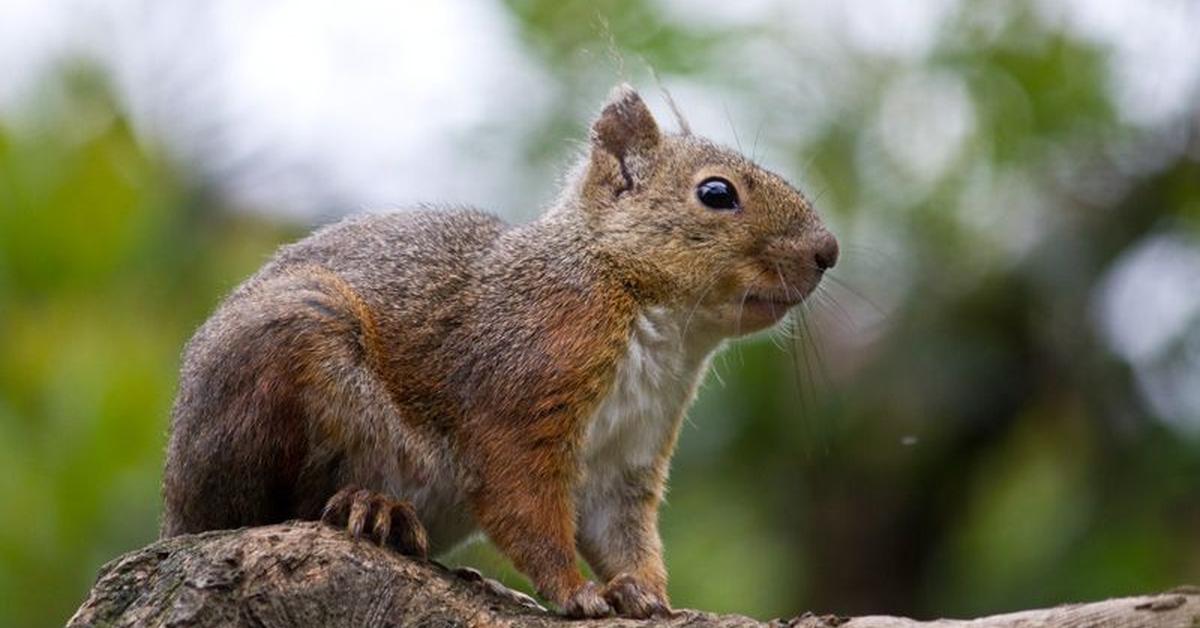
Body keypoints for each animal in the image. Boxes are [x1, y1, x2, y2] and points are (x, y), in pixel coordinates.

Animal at [162, 85, 835, 619]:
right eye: (717, 193)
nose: (828, 251)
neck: (656, 322)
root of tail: (176, 506)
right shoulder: (519, 391)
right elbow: (524, 504)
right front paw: (576, 593)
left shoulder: (630, 455)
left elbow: (624, 534)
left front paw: (646, 593)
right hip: (290, 352)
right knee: (264, 510)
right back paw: (371, 506)